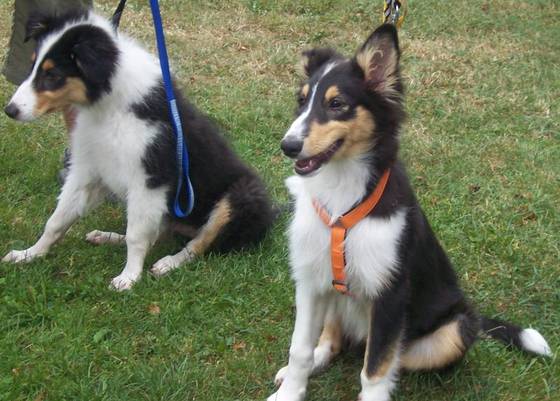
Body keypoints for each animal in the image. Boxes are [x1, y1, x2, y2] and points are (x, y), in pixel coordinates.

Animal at [2, 9, 275, 291]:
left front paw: (129, 278)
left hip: (239, 197)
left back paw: (167, 263)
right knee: (158, 233)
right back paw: (107, 237)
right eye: (33, 65)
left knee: (197, 243)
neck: (108, 106)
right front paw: (29, 255)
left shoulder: (149, 181)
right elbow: (56, 221)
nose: (10, 110)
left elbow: (136, 236)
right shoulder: (88, 170)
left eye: (53, 75)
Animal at [268, 25, 551, 401]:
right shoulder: (311, 280)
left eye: (337, 104)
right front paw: (292, 390)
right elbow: (299, 348)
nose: (288, 146)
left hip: (454, 330)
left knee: (389, 356)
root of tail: (472, 313)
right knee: (332, 340)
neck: (342, 192)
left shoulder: (390, 294)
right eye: (301, 101)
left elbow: (375, 368)